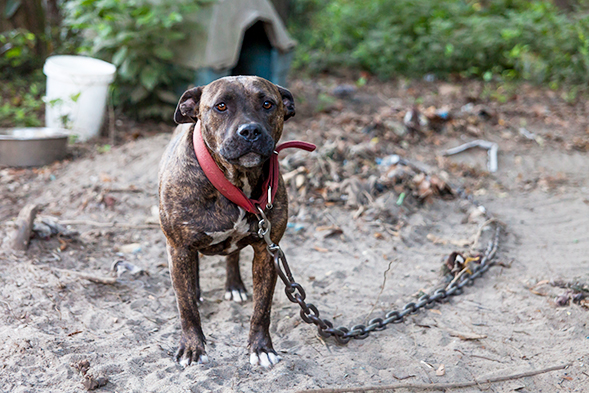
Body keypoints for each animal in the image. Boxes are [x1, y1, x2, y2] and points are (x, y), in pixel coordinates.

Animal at [158, 76, 298, 368]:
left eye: (268, 104)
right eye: (221, 106)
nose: (250, 131)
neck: (234, 182)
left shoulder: (267, 251)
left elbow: (262, 308)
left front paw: (261, 348)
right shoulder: (178, 248)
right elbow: (186, 306)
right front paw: (192, 347)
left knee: (232, 256)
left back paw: (234, 286)